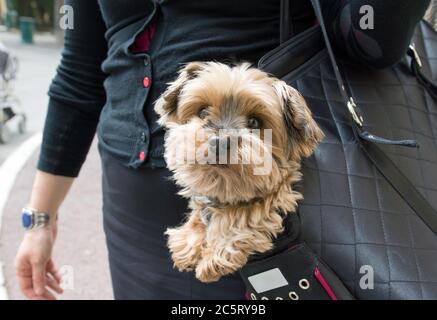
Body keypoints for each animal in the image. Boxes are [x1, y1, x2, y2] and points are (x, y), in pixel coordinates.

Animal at [153, 61, 324, 282]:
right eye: (203, 112)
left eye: (254, 122)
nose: (219, 142)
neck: (224, 187)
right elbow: (200, 209)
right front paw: (189, 243)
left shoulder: (282, 189)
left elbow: (249, 212)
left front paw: (215, 256)